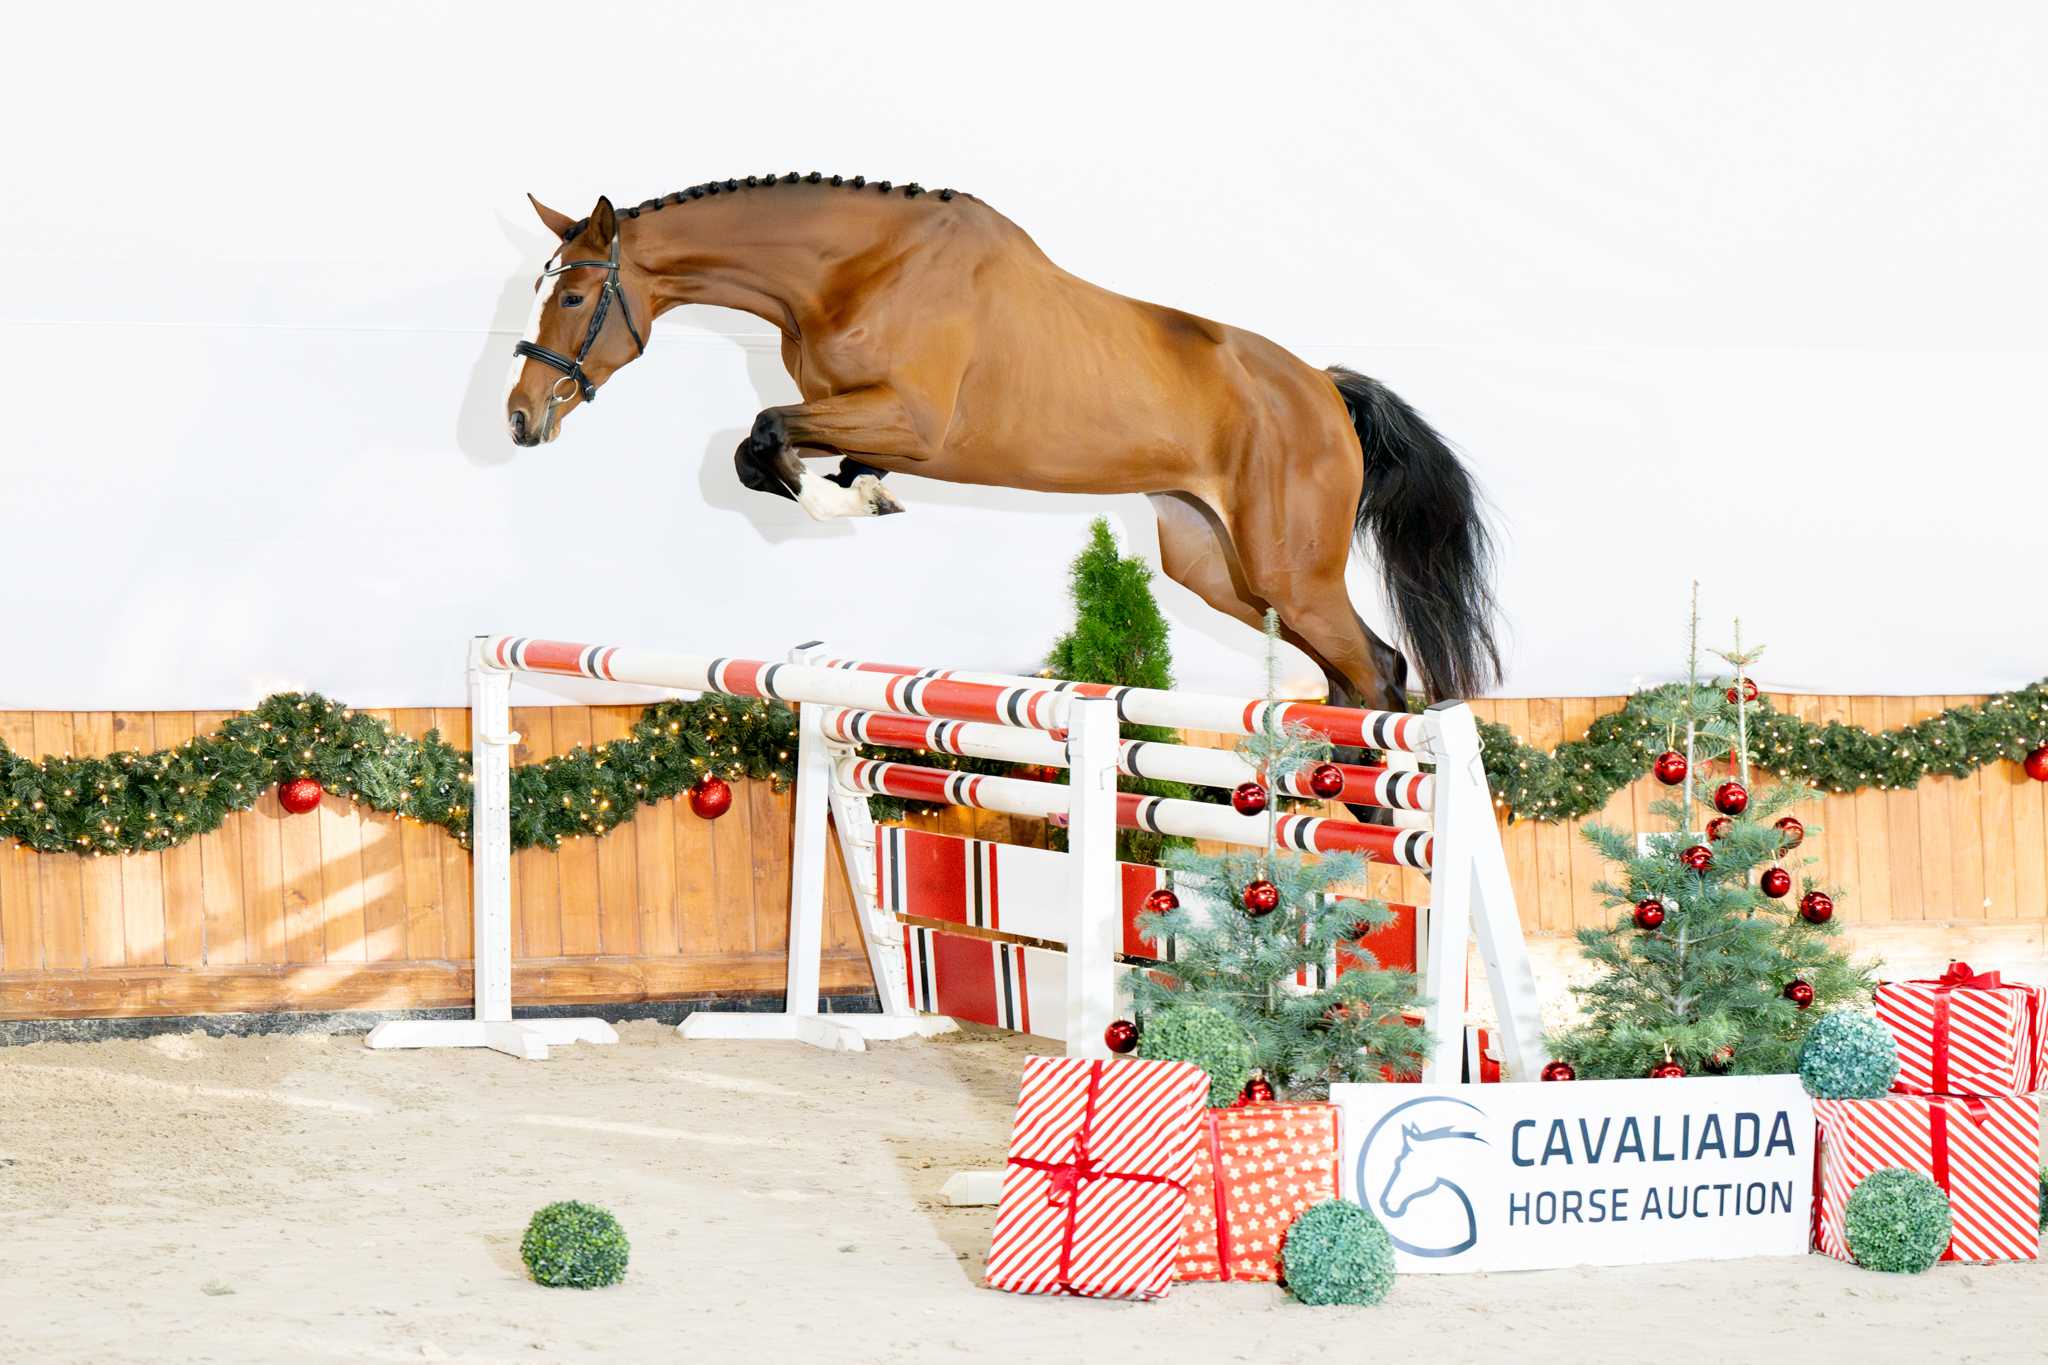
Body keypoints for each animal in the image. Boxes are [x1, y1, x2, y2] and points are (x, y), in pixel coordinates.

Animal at [502, 173, 1499, 716]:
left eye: (576, 296)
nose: (519, 417)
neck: (857, 267)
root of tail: (1322, 387)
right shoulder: (858, 414)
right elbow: (769, 450)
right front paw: (864, 492)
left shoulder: (909, 418)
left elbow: (762, 436)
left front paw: (840, 499)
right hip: (1219, 569)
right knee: (1351, 677)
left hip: (1289, 569)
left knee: (1379, 670)